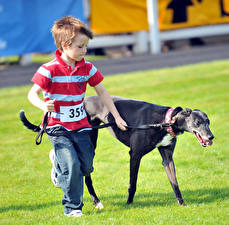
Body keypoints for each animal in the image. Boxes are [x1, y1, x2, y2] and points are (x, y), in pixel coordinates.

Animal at [20, 96, 215, 208]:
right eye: (197, 123)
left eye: (208, 121)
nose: (211, 137)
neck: (165, 121)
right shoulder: (134, 155)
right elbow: (132, 183)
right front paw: (129, 203)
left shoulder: (167, 156)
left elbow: (174, 182)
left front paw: (182, 203)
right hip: (88, 140)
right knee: (82, 169)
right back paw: (95, 200)